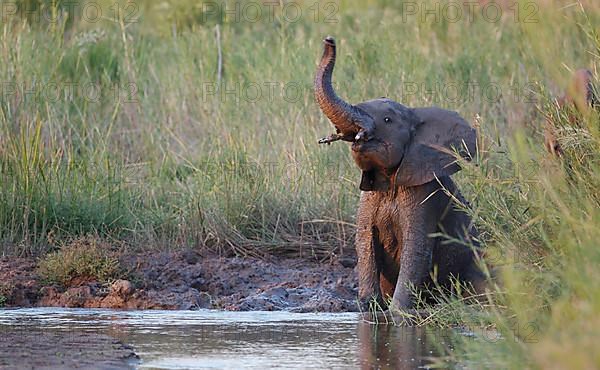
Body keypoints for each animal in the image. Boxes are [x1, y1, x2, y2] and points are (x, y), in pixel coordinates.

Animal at [312, 36, 486, 312]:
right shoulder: (368, 199)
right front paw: (369, 309)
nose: (329, 39)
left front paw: (396, 313)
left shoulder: (426, 196)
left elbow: (415, 250)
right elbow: (365, 243)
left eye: (387, 120)